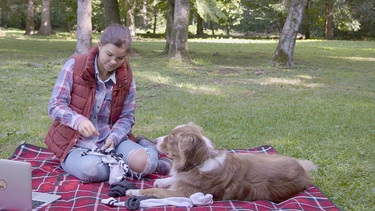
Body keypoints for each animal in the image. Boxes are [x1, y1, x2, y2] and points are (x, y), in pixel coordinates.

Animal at [126, 123, 318, 203]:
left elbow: (156, 190)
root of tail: (302, 169)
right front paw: (163, 180)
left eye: (172, 138)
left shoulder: (184, 193)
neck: (198, 162)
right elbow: (173, 178)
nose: (154, 141)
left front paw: (133, 191)